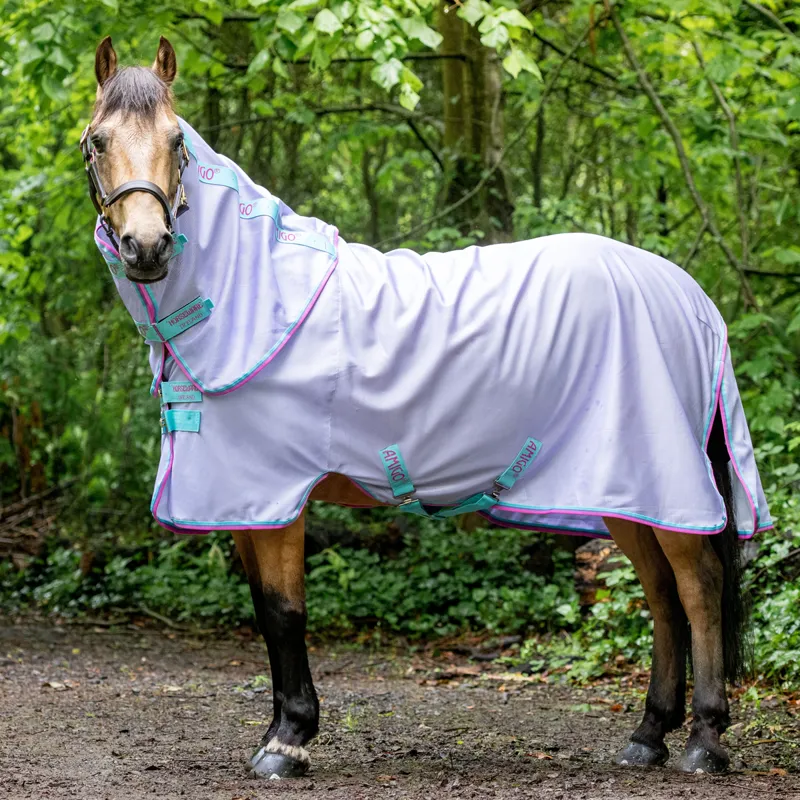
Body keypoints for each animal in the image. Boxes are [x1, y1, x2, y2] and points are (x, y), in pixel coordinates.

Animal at [81, 37, 772, 779]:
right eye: (98, 140)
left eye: (177, 142)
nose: (147, 247)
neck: (259, 294)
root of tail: (689, 295)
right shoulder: (242, 503)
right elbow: (267, 612)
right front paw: (281, 731)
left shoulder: (276, 496)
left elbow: (285, 613)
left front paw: (287, 740)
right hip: (626, 491)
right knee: (662, 597)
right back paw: (648, 735)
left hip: (667, 484)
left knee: (698, 588)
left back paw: (704, 740)